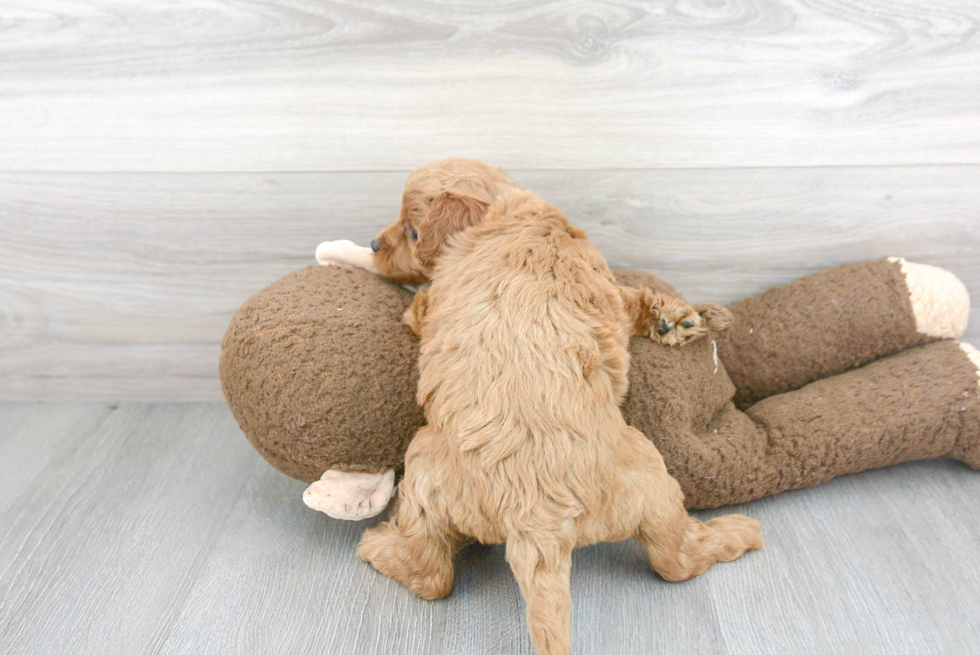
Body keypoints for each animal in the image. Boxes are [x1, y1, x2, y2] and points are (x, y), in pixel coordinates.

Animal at [360, 165, 756, 655]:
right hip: (648, 476)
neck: (510, 216)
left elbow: (420, 306)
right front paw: (675, 319)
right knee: (674, 558)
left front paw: (676, 320)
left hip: (423, 469)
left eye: (412, 231)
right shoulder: (602, 281)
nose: (372, 244)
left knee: (432, 576)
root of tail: (537, 520)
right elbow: (630, 299)